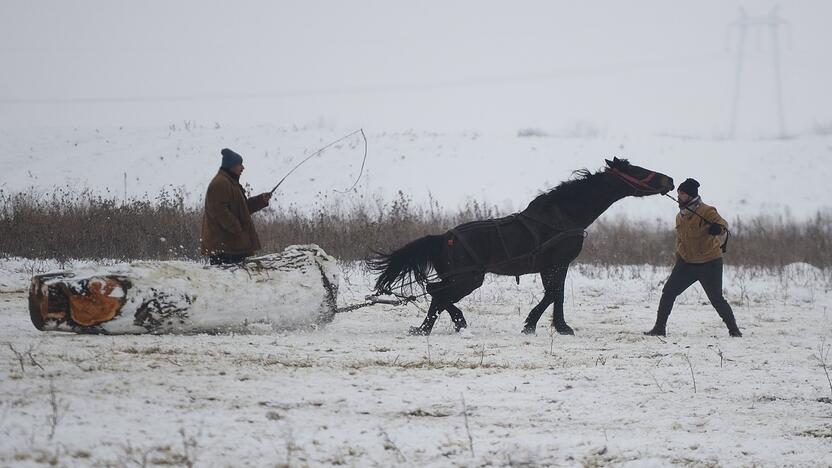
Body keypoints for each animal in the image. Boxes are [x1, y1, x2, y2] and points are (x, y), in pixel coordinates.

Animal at [370, 159, 676, 334]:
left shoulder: (548, 266)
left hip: (460, 278)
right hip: (468, 278)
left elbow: (554, 295)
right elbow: (555, 295)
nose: (670, 180)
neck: (563, 216)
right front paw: (546, 326)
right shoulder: (558, 263)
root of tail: (445, 237)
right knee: (438, 294)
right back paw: (438, 326)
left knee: (437, 294)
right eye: (637, 170)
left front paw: (548, 325)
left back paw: (443, 325)